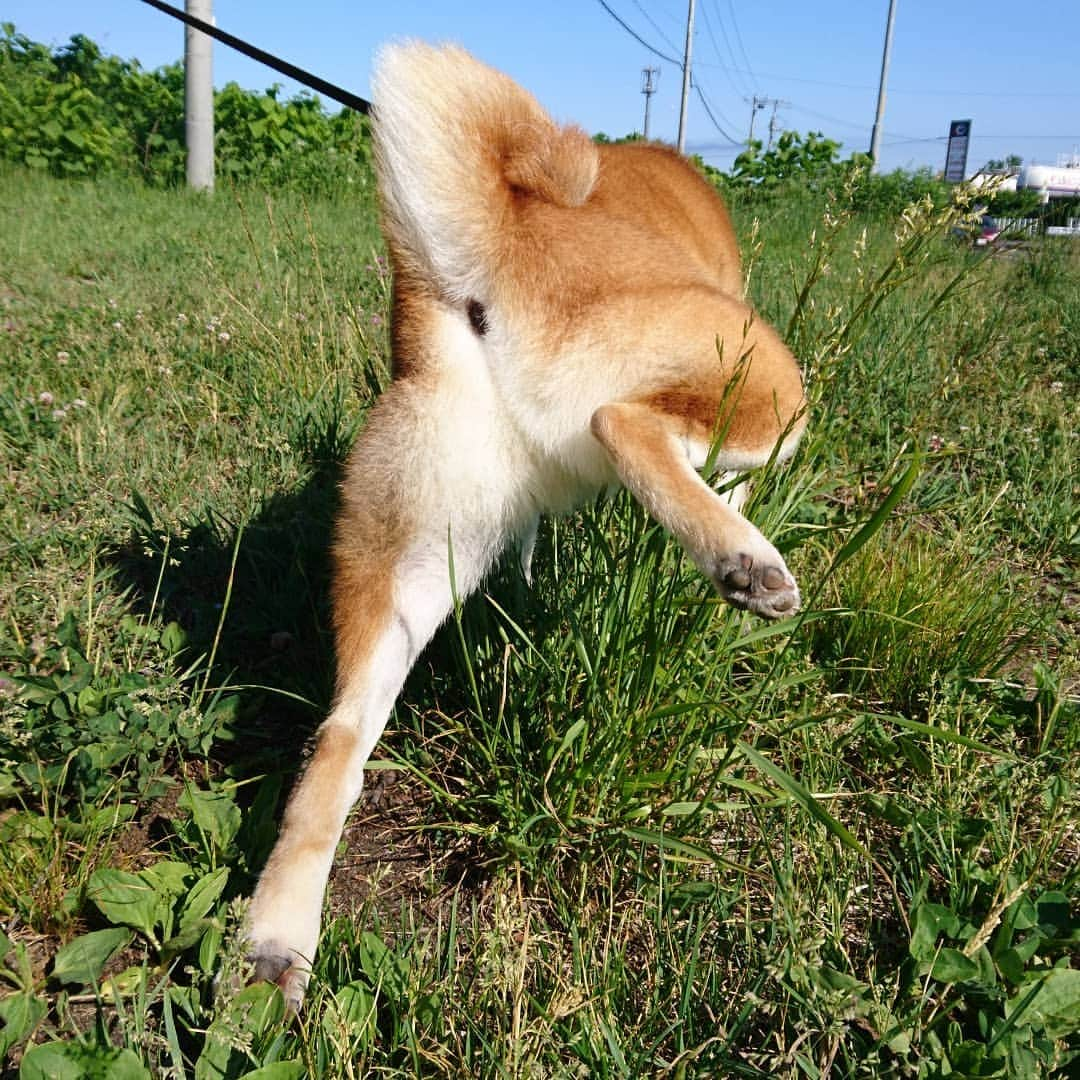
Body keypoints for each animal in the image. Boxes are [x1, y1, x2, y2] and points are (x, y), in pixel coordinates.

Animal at [243, 39, 803, 1002]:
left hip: (413, 563)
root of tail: (496, 248)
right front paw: (736, 528)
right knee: (621, 423)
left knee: (336, 744)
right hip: (766, 375)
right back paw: (742, 561)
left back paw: (276, 939)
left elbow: (533, 550)